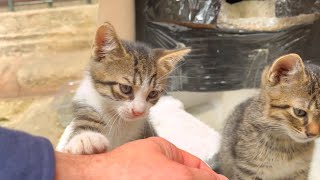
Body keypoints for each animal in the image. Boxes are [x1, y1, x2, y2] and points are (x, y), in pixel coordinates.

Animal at [56, 22, 190, 155]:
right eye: (125, 88)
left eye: (153, 93)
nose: (138, 112)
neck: (118, 121)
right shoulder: (86, 104)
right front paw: (87, 138)